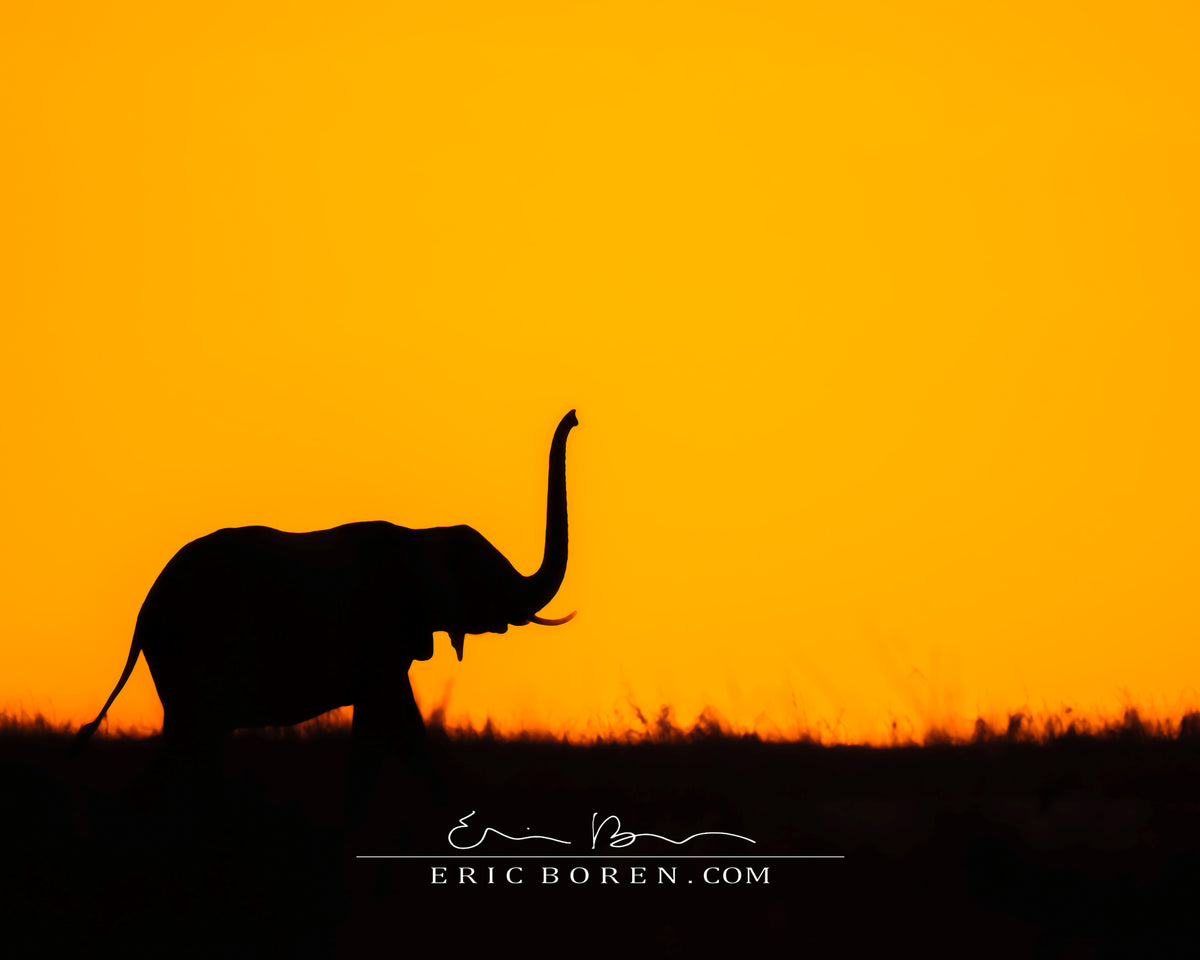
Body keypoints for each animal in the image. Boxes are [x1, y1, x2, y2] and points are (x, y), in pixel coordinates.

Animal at [75, 409, 579, 813]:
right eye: (488, 577)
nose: (575, 416)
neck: (420, 536)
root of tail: (145, 611)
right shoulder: (380, 631)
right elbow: (388, 725)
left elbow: (399, 728)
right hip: (196, 650)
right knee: (193, 741)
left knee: (191, 744)